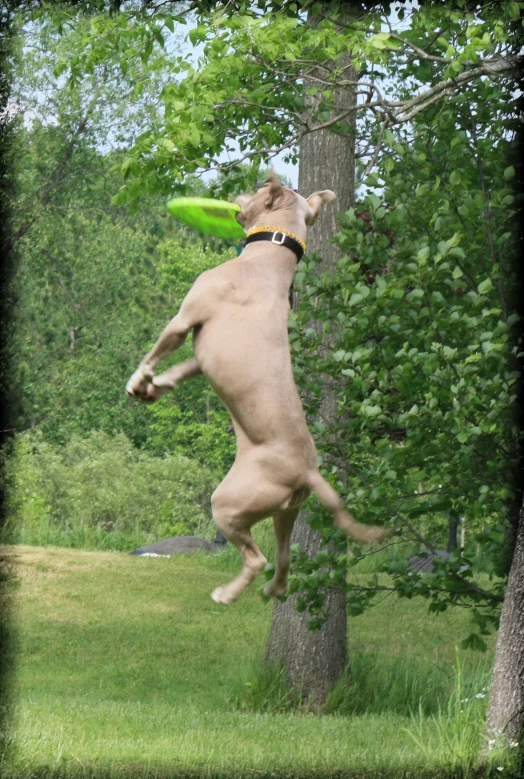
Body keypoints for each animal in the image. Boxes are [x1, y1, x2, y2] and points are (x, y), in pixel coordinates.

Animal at [124, 174, 382, 608]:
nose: (250, 184)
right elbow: (179, 369)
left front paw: (139, 381)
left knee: (256, 557)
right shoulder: (202, 353)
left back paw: (226, 594)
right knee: (283, 558)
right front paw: (156, 388)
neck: (270, 256)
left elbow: (155, 353)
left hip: (228, 503)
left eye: (260, 185)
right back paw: (273, 590)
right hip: (285, 512)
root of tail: (308, 471)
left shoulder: (184, 319)